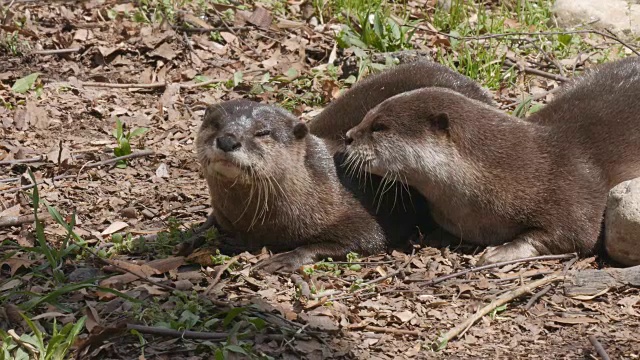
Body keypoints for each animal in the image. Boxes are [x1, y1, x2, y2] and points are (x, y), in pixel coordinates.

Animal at [194, 98, 384, 272]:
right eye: (215, 124)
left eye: (262, 132)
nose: (227, 141)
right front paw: (193, 239)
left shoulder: (361, 216)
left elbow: (368, 238)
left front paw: (285, 258)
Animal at [342, 55, 640, 264]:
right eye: (367, 115)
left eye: (379, 126)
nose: (348, 136)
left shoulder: (574, 190)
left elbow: (574, 235)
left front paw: (499, 252)